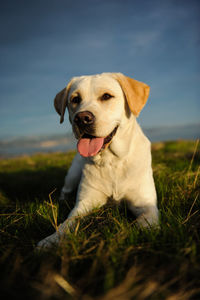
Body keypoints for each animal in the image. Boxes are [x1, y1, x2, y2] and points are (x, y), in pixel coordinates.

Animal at [37, 72, 159, 248]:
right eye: (75, 99)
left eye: (106, 96)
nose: (82, 118)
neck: (112, 160)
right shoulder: (85, 203)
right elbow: (67, 223)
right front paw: (50, 240)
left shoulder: (147, 206)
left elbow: (143, 225)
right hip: (73, 174)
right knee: (65, 190)